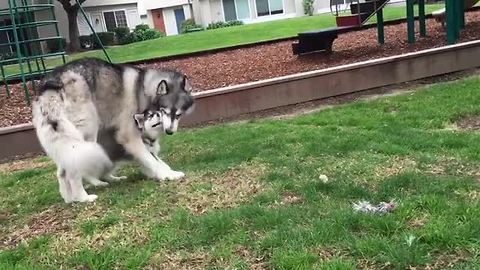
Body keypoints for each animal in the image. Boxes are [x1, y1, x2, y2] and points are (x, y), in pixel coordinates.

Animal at [32, 58, 195, 202]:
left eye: (178, 114)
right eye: (165, 111)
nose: (170, 131)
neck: (143, 89)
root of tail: (52, 82)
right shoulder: (129, 136)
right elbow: (151, 160)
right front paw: (167, 175)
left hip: (69, 141)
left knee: (62, 172)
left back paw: (71, 197)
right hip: (87, 134)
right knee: (73, 172)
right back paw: (85, 197)